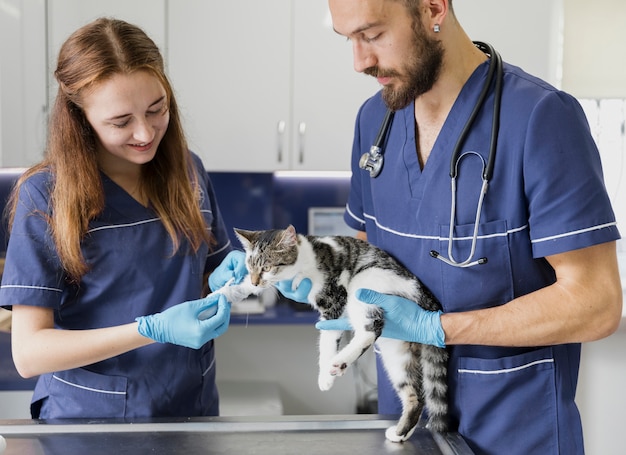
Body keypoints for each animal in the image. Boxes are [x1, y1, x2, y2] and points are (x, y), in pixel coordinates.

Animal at [230, 226, 448, 444]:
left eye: (267, 267)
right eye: (250, 267)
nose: (255, 282)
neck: (307, 257)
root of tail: (426, 299)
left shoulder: (334, 301)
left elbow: (327, 341)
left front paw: (325, 377)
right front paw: (233, 289)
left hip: (365, 281)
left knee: (372, 328)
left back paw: (340, 362)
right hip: (396, 351)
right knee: (414, 394)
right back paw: (400, 433)